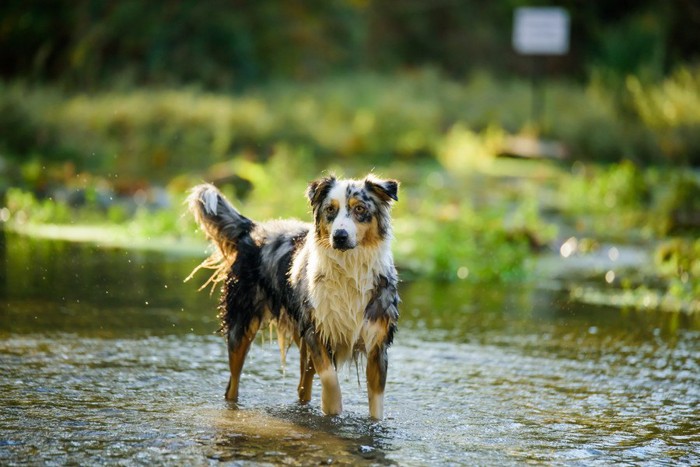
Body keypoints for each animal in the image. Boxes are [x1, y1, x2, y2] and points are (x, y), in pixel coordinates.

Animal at [187, 176, 400, 420]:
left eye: (360, 209)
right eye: (330, 210)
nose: (339, 236)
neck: (349, 269)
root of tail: (254, 229)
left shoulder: (377, 346)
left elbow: (376, 406)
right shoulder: (316, 332)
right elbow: (330, 379)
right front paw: (332, 410)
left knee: (302, 387)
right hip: (241, 327)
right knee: (232, 384)